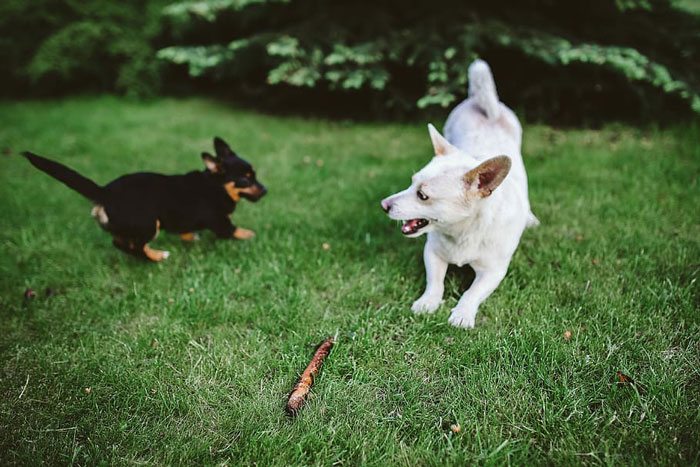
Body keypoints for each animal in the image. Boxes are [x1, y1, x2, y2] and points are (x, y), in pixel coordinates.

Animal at [23, 137, 266, 262]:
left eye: (254, 175)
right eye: (246, 179)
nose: (265, 190)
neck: (215, 184)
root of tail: (104, 191)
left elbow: (187, 230)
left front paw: (190, 237)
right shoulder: (219, 222)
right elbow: (233, 230)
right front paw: (250, 234)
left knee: (120, 243)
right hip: (149, 224)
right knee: (136, 247)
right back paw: (157, 256)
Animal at [380, 58, 540, 330]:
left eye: (422, 195)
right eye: (411, 183)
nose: (384, 205)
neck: (463, 231)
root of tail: (482, 103)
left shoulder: (494, 271)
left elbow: (472, 292)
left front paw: (463, 313)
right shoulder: (432, 253)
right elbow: (435, 282)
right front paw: (428, 302)